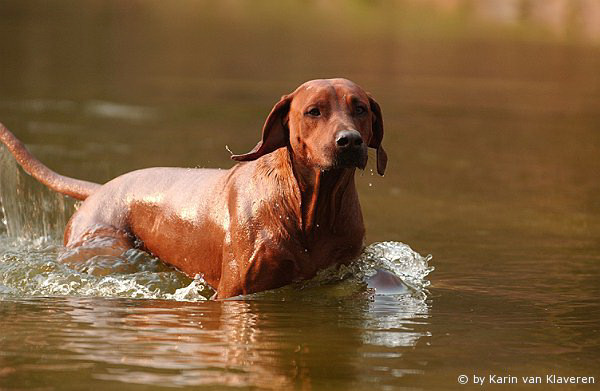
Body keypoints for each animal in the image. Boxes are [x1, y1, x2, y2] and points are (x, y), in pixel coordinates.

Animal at [0, 78, 386, 298]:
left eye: (360, 108)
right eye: (313, 111)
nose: (349, 140)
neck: (309, 207)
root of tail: (99, 189)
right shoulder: (234, 294)